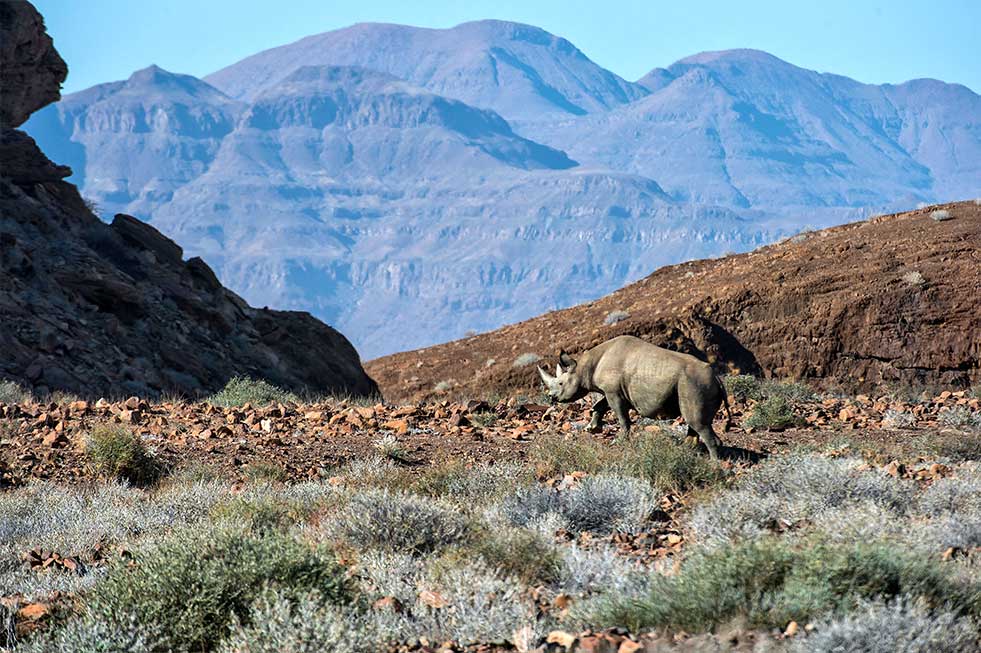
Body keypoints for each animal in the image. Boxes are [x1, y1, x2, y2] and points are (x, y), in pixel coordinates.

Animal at [538, 335, 732, 458]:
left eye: (560, 383)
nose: (551, 397)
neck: (583, 368)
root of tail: (717, 378)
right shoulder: (613, 391)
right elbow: (600, 405)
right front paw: (591, 428)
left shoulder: (614, 393)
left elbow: (622, 417)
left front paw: (619, 441)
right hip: (698, 384)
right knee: (696, 422)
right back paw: (687, 450)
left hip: (695, 383)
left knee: (698, 423)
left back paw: (714, 464)